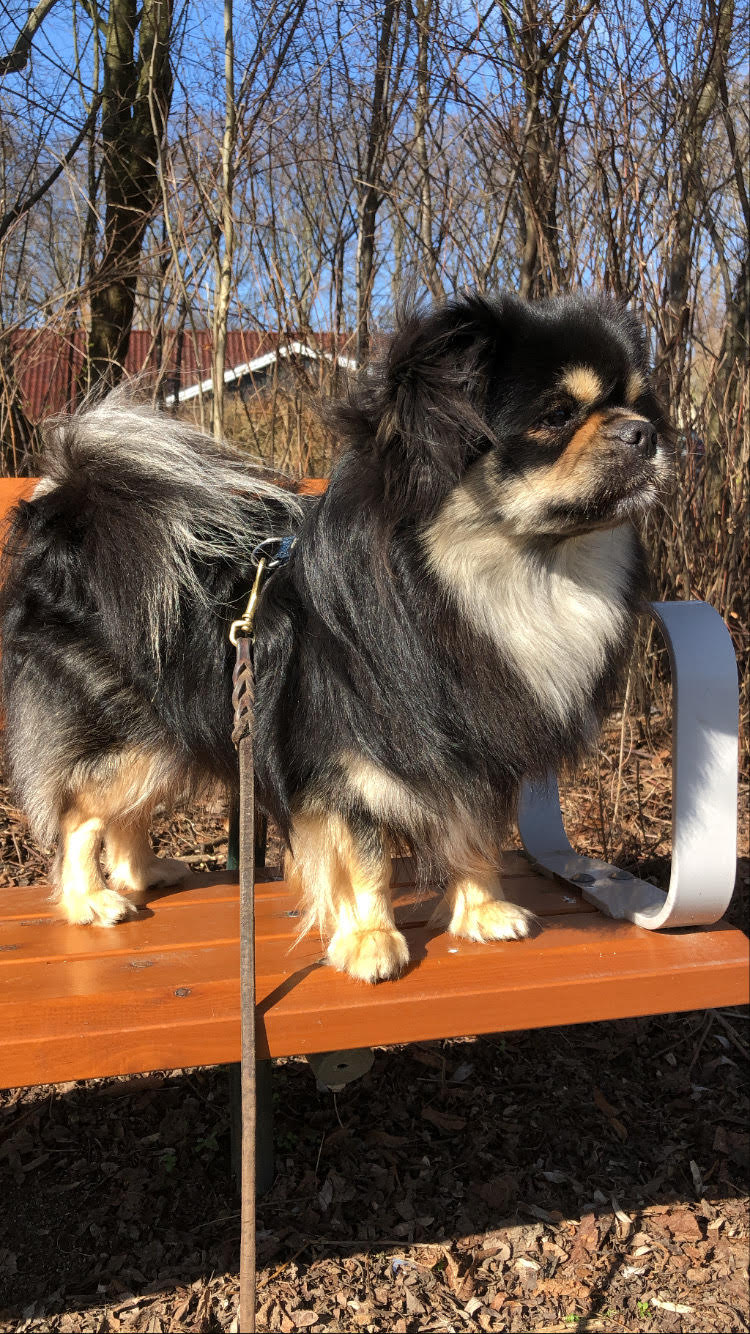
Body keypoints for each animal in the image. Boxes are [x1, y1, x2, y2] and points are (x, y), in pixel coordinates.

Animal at [0, 292, 664, 981]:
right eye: (556, 416)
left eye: (642, 407)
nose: (643, 434)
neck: (493, 581)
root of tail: (70, 520)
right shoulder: (342, 769)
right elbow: (364, 860)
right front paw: (371, 940)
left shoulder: (474, 752)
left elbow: (473, 836)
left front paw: (482, 911)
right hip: (131, 741)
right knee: (81, 813)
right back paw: (90, 900)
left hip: (168, 740)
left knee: (125, 815)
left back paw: (144, 875)